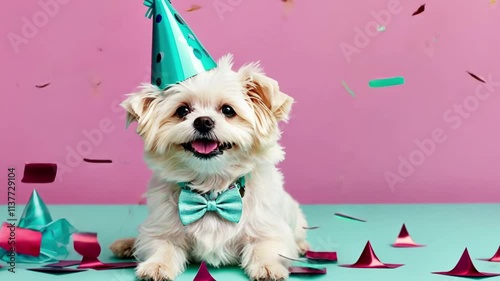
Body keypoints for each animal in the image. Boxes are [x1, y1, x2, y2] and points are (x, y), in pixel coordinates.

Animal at [111, 54, 310, 280]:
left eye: (228, 110)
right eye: (182, 110)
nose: (203, 121)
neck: (211, 189)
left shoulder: (269, 231)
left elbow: (265, 248)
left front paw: (268, 267)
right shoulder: (160, 231)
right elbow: (162, 246)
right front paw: (156, 265)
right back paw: (126, 245)